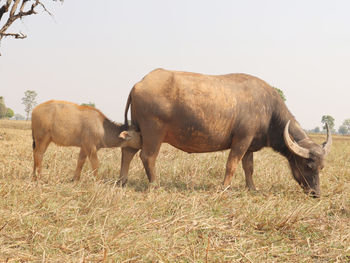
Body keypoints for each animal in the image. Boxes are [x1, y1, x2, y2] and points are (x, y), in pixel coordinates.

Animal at [119, 69, 332, 197]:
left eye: (321, 167)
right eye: (307, 165)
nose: (316, 193)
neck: (268, 110)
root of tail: (139, 84)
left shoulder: (249, 146)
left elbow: (249, 167)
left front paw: (252, 187)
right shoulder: (241, 140)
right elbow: (232, 165)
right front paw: (225, 187)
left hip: (137, 130)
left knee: (128, 151)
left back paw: (122, 181)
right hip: (153, 133)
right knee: (147, 156)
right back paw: (155, 184)